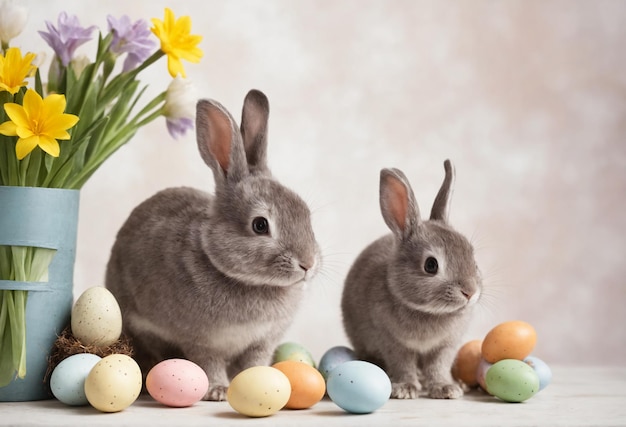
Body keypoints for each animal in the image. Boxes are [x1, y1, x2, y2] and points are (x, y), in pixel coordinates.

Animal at [105, 89, 320, 402]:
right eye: (260, 225)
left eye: (305, 213)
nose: (308, 264)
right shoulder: (202, 341)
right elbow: (209, 364)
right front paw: (218, 391)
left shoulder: (262, 342)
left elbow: (254, 363)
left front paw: (263, 381)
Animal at [342, 161, 478, 402]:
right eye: (431, 265)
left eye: (472, 254)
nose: (470, 292)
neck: (429, 312)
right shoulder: (392, 342)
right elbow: (403, 364)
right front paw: (405, 389)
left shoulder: (446, 346)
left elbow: (438, 366)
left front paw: (446, 388)